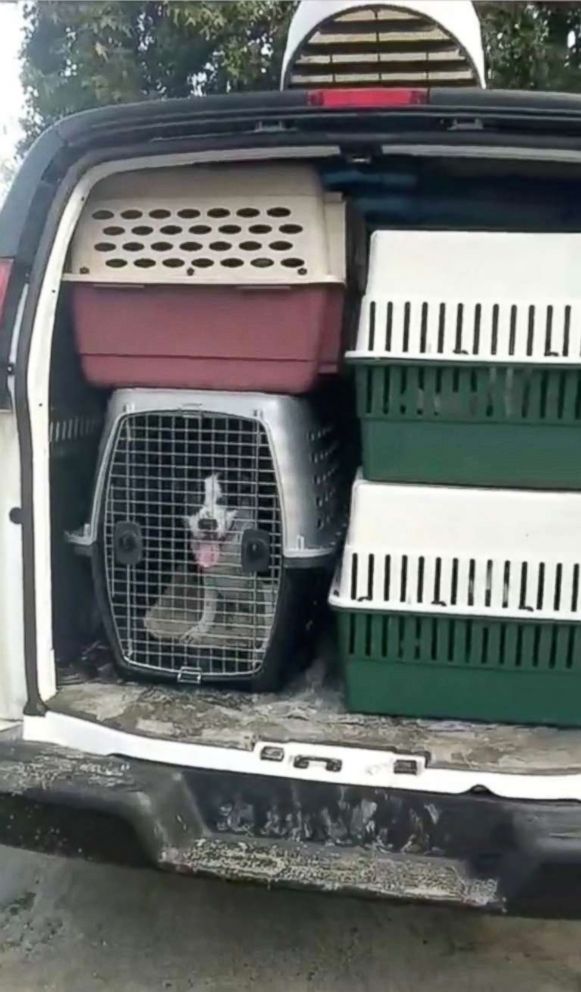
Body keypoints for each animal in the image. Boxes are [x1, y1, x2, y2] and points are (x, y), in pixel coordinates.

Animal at [180, 474, 274, 648]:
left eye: (224, 500)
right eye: (193, 497)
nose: (207, 524)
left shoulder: (268, 578)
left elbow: (270, 615)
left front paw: (266, 645)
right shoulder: (208, 573)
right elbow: (209, 605)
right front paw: (200, 630)